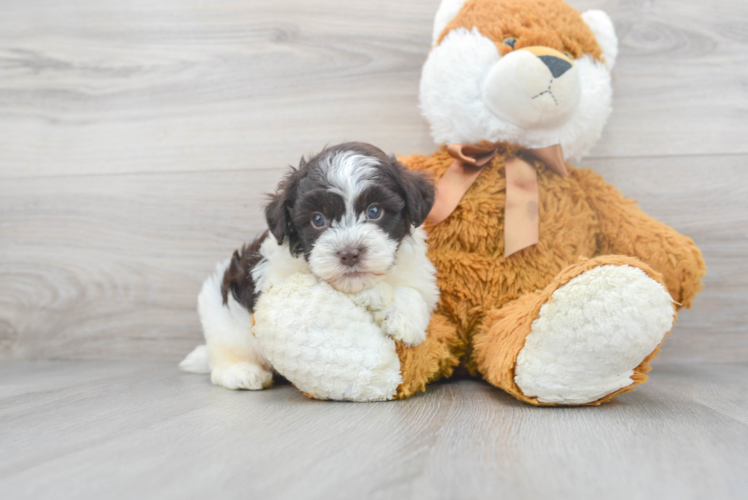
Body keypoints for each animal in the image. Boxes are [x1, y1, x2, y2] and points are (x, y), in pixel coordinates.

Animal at [180, 141, 438, 390]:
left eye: (374, 211)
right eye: (318, 220)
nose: (349, 254)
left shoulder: (417, 274)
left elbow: (415, 294)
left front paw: (404, 320)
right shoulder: (278, 278)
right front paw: (376, 296)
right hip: (224, 322)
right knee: (225, 356)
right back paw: (242, 373)